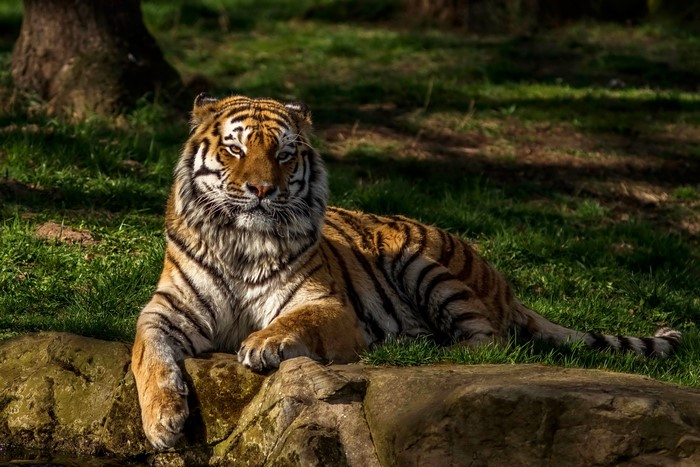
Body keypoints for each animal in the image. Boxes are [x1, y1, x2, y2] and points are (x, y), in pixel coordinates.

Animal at [131, 94, 682, 449]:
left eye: (284, 155)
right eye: (235, 149)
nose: (264, 190)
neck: (243, 243)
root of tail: (506, 286)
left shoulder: (325, 305)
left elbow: (293, 321)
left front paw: (263, 343)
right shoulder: (166, 311)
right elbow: (148, 355)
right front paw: (162, 421)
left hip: (420, 261)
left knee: (487, 344)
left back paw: (419, 354)